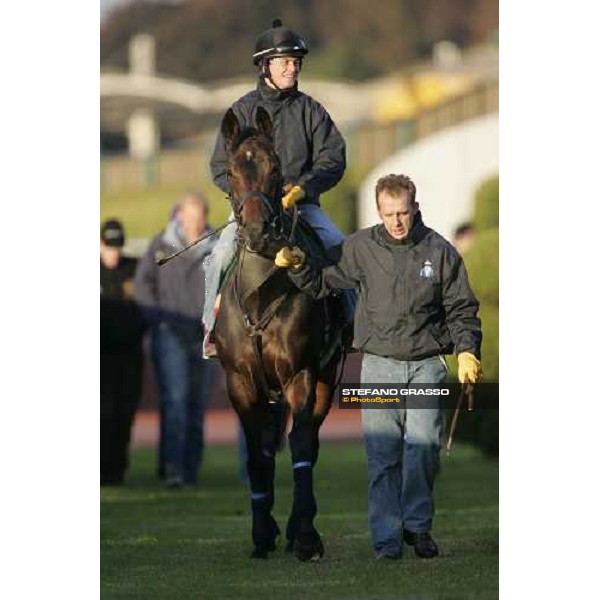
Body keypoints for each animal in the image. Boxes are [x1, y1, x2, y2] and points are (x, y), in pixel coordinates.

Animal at [212, 106, 342, 564]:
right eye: (231, 171)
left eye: (274, 166)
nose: (256, 229)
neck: (260, 295)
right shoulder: (240, 382)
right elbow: (257, 456)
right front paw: (261, 533)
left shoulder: (300, 374)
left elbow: (301, 448)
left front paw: (304, 536)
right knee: (268, 445)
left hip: (326, 377)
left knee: (311, 442)